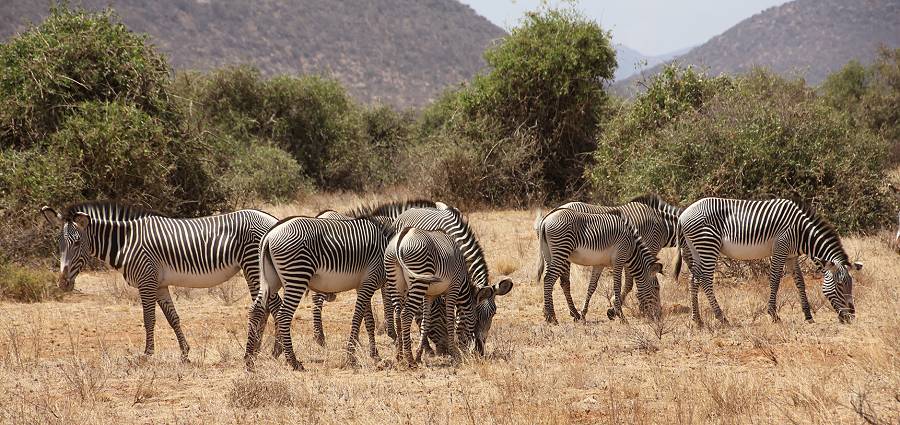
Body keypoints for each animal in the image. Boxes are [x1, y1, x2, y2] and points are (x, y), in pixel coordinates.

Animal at [40, 202, 282, 362]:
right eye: (59, 243)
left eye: (77, 242)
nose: (62, 283)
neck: (127, 242)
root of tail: (273, 221)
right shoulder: (159, 284)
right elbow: (173, 318)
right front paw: (185, 352)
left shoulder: (146, 280)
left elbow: (149, 319)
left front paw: (147, 354)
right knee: (268, 307)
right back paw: (262, 350)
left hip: (252, 266)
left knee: (272, 306)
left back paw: (273, 351)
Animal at [246, 214, 398, 370]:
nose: (395, 338)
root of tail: (270, 234)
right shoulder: (369, 282)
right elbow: (357, 319)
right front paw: (351, 358)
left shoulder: (363, 285)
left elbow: (369, 322)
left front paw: (375, 356)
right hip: (297, 275)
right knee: (284, 315)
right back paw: (293, 362)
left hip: (272, 279)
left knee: (256, 309)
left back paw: (249, 360)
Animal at [544, 192, 684, 318]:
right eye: (656, 288)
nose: (659, 314)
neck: (663, 224)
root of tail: (550, 214)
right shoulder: (645, 250)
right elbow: (629, 284)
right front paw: (619, 309)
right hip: (563, 252)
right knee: (561, 281)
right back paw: (564, 314)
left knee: (559, 280)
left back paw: (563, 312)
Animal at [676, 197, 864, 322]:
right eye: (840, 285)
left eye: (851, 284)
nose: (852, 317)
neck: (802, 231)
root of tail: (683, 215)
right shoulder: (780, 249)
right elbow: (774, 280)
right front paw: (773, 314)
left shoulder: (791, 256)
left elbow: (800, 282)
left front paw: (808, 315)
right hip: (708, 244)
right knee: (706, 280)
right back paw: (721, 317)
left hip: (697, 248)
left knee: (694, 279)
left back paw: (697, 319)